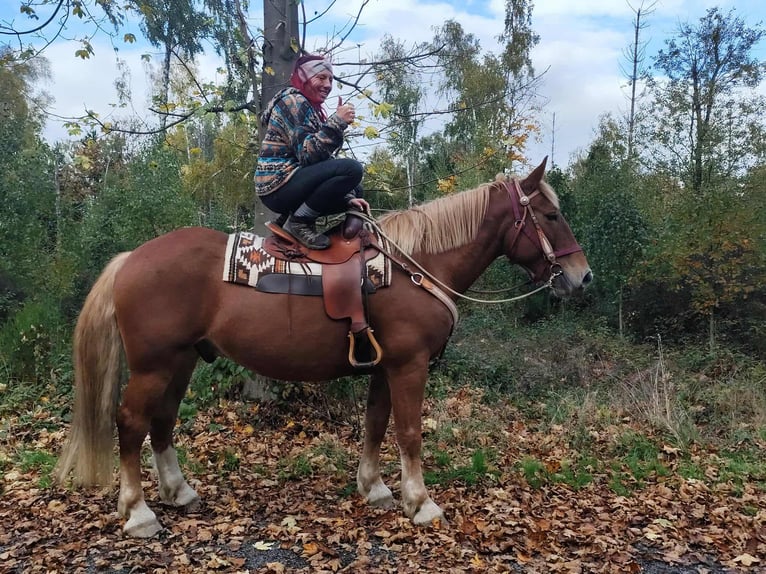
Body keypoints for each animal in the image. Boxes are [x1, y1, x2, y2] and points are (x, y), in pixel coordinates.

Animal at [54, 158, 592, 537]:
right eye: (550, 214)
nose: (581, 277)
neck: (414, 265)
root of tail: (131, 258)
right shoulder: (410, 365)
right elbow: (409, 433)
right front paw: (421, 502)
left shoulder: (385, 367)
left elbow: (376, 425)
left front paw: (375, 489)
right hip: (153, 365)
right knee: (131, 423)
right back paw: (139, 512)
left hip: (181, 361)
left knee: (162, 422)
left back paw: (179, 492)